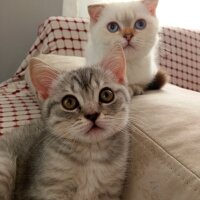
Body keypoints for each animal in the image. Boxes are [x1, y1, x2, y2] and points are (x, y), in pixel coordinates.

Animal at [0, 45, 130, 200]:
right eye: (69, 102)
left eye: (106, 94)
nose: (92, 115)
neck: (91, 155)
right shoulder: (47, 191)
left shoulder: (110, 191)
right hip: (5, 165)